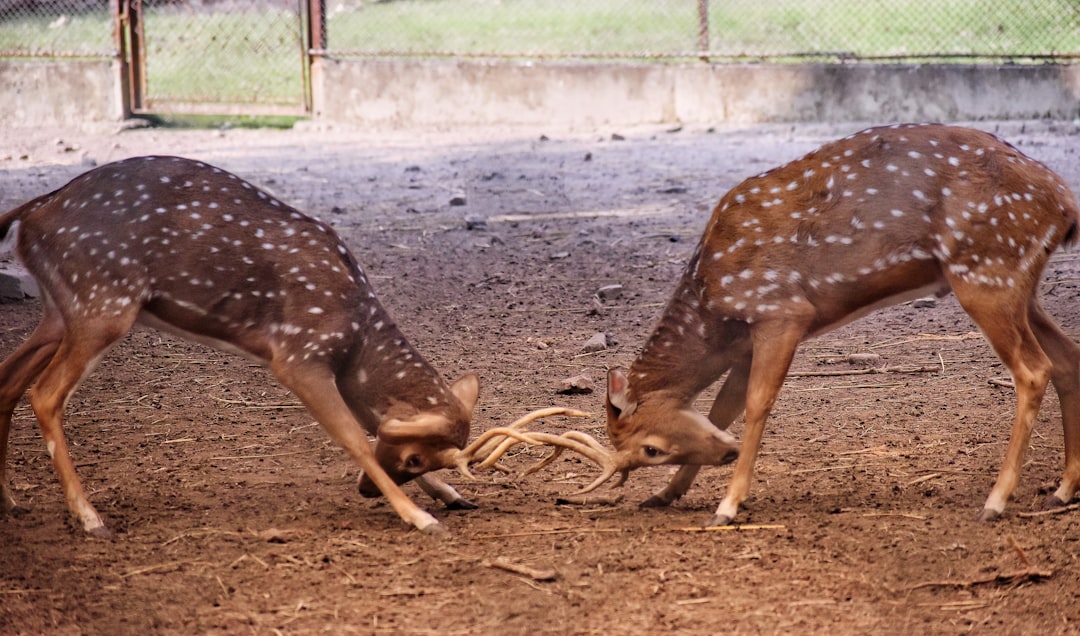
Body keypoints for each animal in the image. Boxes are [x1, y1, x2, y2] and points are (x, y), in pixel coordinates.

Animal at [0, 155, 591, 535]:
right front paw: (420, 517)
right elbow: (354, 436)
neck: (354, 338)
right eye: (415, 456)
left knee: (8, 379)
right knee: (44, 394)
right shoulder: (296, 356)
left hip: (61, 309)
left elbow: (368, 426)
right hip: (102, 301)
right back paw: (90, 518)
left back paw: (9, 501)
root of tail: (30, 215)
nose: (366, 493)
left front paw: (450, 495)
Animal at [548, 122, 1080, 524]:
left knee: (1033, 369)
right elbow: (722, 411)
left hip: (985, 270)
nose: (724, 455)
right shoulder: (746, 342)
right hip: (1018, 282)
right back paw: (1061, 489)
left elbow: (757, 405)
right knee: (1067, 358)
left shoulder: (781, 310)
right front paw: (665, 495)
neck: (714, 304)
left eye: (651, 449)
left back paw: (996, 501)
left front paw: (727, 505)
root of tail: (1064, 206)